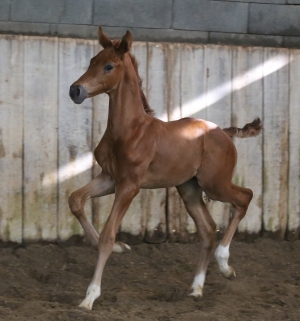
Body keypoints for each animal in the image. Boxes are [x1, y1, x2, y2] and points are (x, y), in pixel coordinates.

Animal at [69, 28, 262, 310]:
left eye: (108, 66)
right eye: (92, 60)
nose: (75, 90)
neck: (130, 130)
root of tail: (224, 132)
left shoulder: (129, 186)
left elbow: (107, 235)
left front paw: (90, 296)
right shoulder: (109, 178)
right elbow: (75, 200)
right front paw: (121, 248)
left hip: (215, 184)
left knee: (245, 197)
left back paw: (225, 265)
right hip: (189, 189)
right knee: (207, 229)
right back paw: (197, 288)